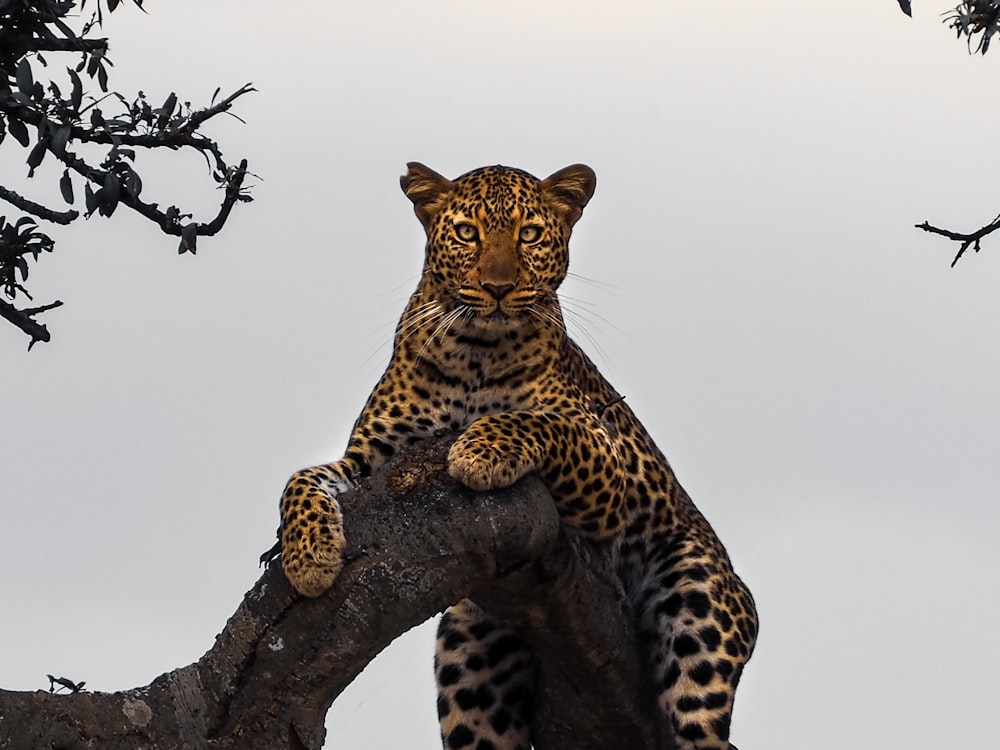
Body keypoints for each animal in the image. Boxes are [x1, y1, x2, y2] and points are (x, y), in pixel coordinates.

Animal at [278, 163, 752, 750]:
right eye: (467, 233)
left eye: (529, 234)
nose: (498, 288)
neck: (475, 351)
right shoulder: (373, 464)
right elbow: (300, 479)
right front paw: (308, 558)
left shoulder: (605, 457)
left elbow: (535, 422)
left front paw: (477, 451)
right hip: (468, 649)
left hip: (699, 609)